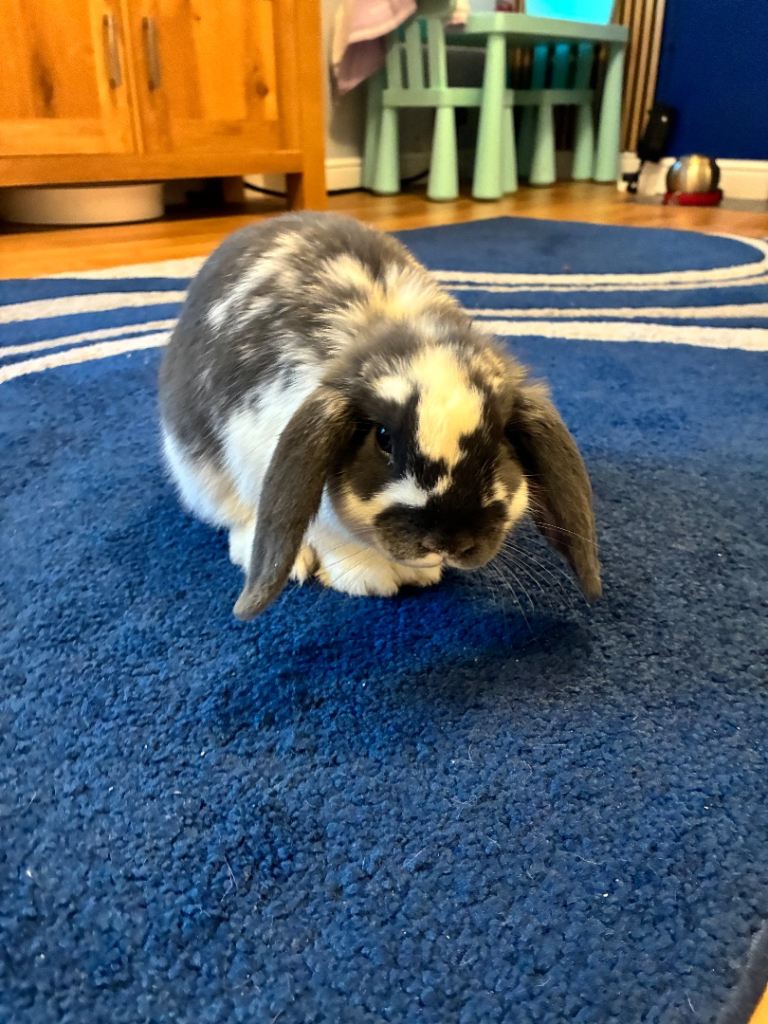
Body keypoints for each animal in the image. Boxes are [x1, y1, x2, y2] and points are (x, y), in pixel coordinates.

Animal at [158, 211, 601, 620]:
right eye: (383, 437)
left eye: (501, 441)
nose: (448, 542)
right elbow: (327, 531)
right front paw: (370, 579)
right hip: (199, 474)